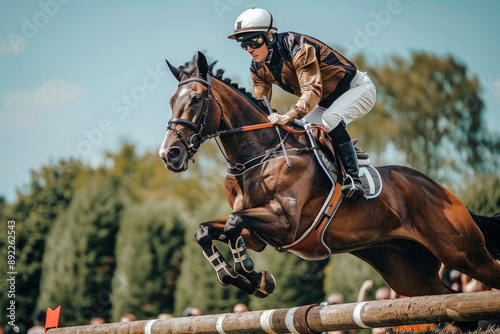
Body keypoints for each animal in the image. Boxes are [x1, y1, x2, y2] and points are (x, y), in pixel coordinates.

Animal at [159, 51, 500, 302]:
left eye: (196, 100)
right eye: (171, 102)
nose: (169, 154)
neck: (259, 155)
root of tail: (444, 192)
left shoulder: (284, 222)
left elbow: (232, 224)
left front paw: (253, 273)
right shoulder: (256, 234)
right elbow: (205, 230)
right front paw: (246, 277)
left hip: (464, 253)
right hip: (409, 273)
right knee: (447, 296)